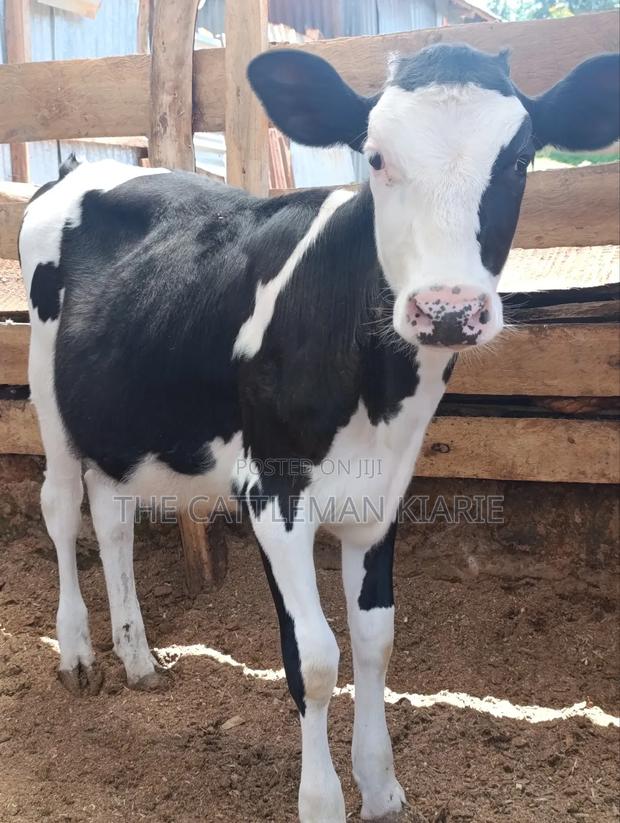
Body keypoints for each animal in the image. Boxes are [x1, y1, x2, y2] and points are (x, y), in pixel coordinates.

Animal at [19, 43, 618, 822]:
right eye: (376, 156)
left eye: (521, 158)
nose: (447, 309)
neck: (375, 390)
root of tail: (78, 168)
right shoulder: (271, 491)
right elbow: (314, 657)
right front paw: (324, 799)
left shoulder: (384, 494)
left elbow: (375, 640)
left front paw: (382, 784)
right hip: (46, 389)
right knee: (62, 508)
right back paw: (77, 656)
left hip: (123, 410)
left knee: (113, 515)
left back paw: (139, 659)